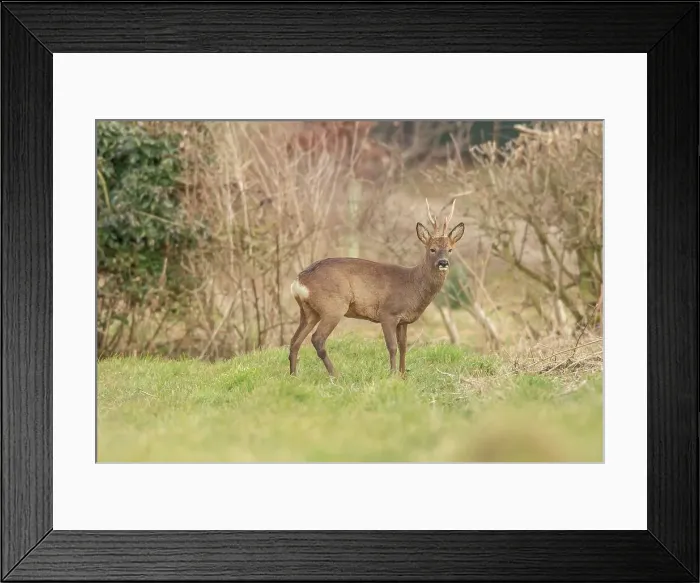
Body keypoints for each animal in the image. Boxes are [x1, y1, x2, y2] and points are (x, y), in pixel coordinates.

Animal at [289, 199, 465, 378]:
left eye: (450, 250)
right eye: (432, 249)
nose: (443, 262)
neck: (412, 285)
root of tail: (299, 281)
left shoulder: (404, 320)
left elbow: (403, 347)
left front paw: (403, 375)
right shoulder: (387, 313)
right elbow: (392, 347)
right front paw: (392, 375)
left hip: (309, 311)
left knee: (295, 341)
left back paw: (294, 375)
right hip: (333, 306)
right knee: (317, 339)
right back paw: (336, 375)